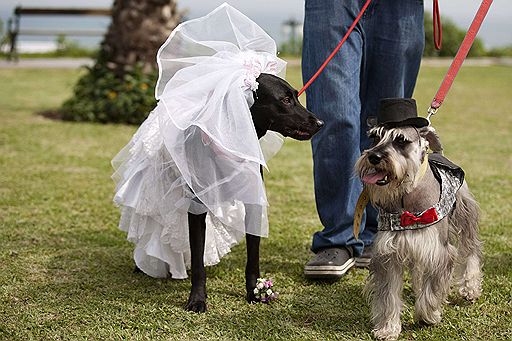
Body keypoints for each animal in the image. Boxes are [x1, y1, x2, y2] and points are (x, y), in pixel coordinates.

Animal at [182, 73, 322, 310]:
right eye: (285, 100)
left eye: (296, 95)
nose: (320, 123)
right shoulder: (196, 209)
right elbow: (198, 260)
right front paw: (197, 299)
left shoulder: (254, 204)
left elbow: (253, 257)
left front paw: (255, 292)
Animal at [354, 98, 482, 340]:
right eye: (374, 137)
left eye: (400, 140)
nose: (374, 157)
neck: (406, 195)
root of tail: (438, 153)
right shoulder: (389, 254)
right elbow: (388, 296)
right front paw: (388, 328)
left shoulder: (438, 251)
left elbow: (432, 290)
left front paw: (427, 315)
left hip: (465, 214)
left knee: (471, 249)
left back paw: (470, 286)